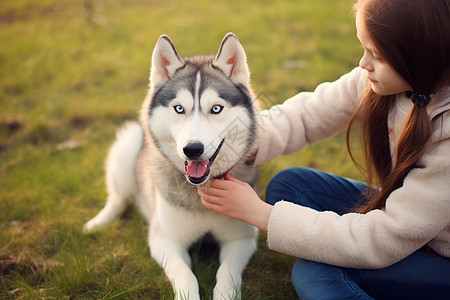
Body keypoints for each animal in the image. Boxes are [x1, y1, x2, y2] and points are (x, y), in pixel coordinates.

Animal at [84, 33, 260, 300]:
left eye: (216, 108)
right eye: (179, 108)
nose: (193, 149)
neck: (199, 193)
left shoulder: (241, 239)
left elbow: (227, 274)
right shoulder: (165, 240)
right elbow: (186, 276)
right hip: (128, 145)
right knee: (118, 198)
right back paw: (98, 223)